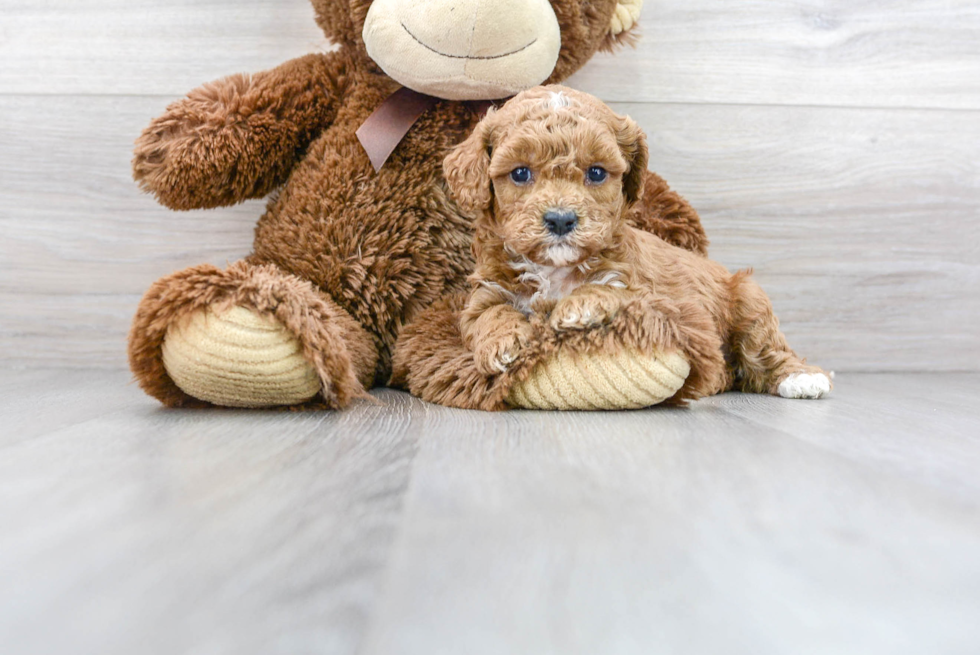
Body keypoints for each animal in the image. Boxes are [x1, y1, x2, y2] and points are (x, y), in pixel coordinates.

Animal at [444, 86, 836, 400]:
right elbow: (489, 314)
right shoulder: (487, 290)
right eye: (520, 172)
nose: (560, 219)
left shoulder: (650, 293)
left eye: (597, 172)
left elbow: (614, 290)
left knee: (765, 351)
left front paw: (579, 306)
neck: (555, 270)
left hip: (750, 301)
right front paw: (502, 342)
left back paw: (800, 378)